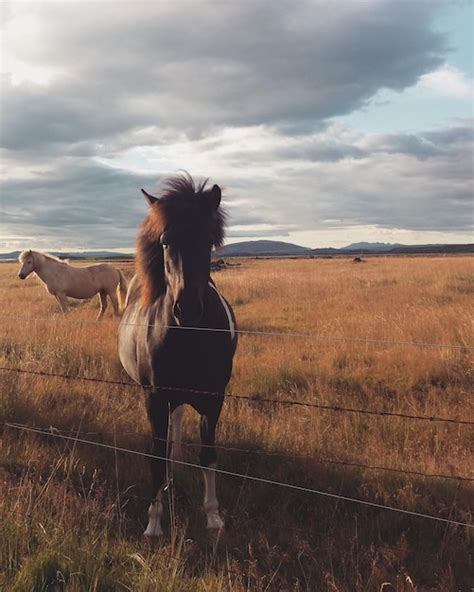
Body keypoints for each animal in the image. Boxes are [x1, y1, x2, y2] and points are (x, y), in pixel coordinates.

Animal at [118, 172, 237, 536]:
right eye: (166, 242)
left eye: (208, 240)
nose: (187, 309)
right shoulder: (155, 397)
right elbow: (156, 456)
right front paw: (154, 522)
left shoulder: (213, 399)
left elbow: (208, 455)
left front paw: (213, 516)